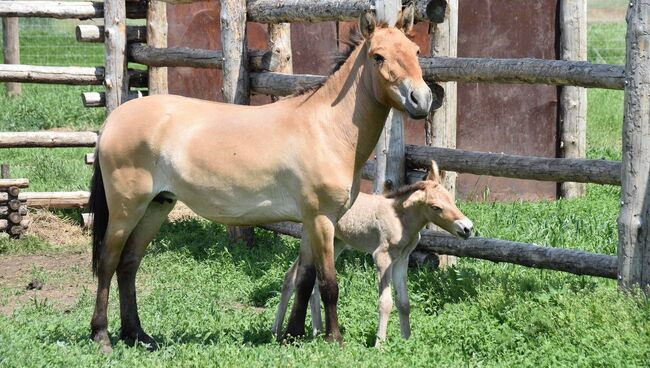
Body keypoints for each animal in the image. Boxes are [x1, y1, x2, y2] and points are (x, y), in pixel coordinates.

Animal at [87, 7, 430, 352]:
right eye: (378, 56)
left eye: (416, 51)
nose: (422, 100)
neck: (326, 129)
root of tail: (113, 119)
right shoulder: (322, 219)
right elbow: (328, 283)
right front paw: (334, 339)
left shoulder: (310, 221)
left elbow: (304, 280)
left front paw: (293, 335)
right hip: (126, 209)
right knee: (108, 262)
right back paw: (102, 336)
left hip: (156, 207)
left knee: (129, 264)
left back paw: (137, 335)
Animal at [270, 161, 470, 344]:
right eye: (436, 207)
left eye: (451, 199)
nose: (467, 228)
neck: (401, 220)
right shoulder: (382, 257)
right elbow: (386, 302)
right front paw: (379, 343)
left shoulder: (402, 259)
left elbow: (404, 302)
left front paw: (406, 340)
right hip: (311, 240)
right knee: (291, 276)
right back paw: (276, 332)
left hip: (336, 243)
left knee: (311, 283)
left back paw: (316, 331)